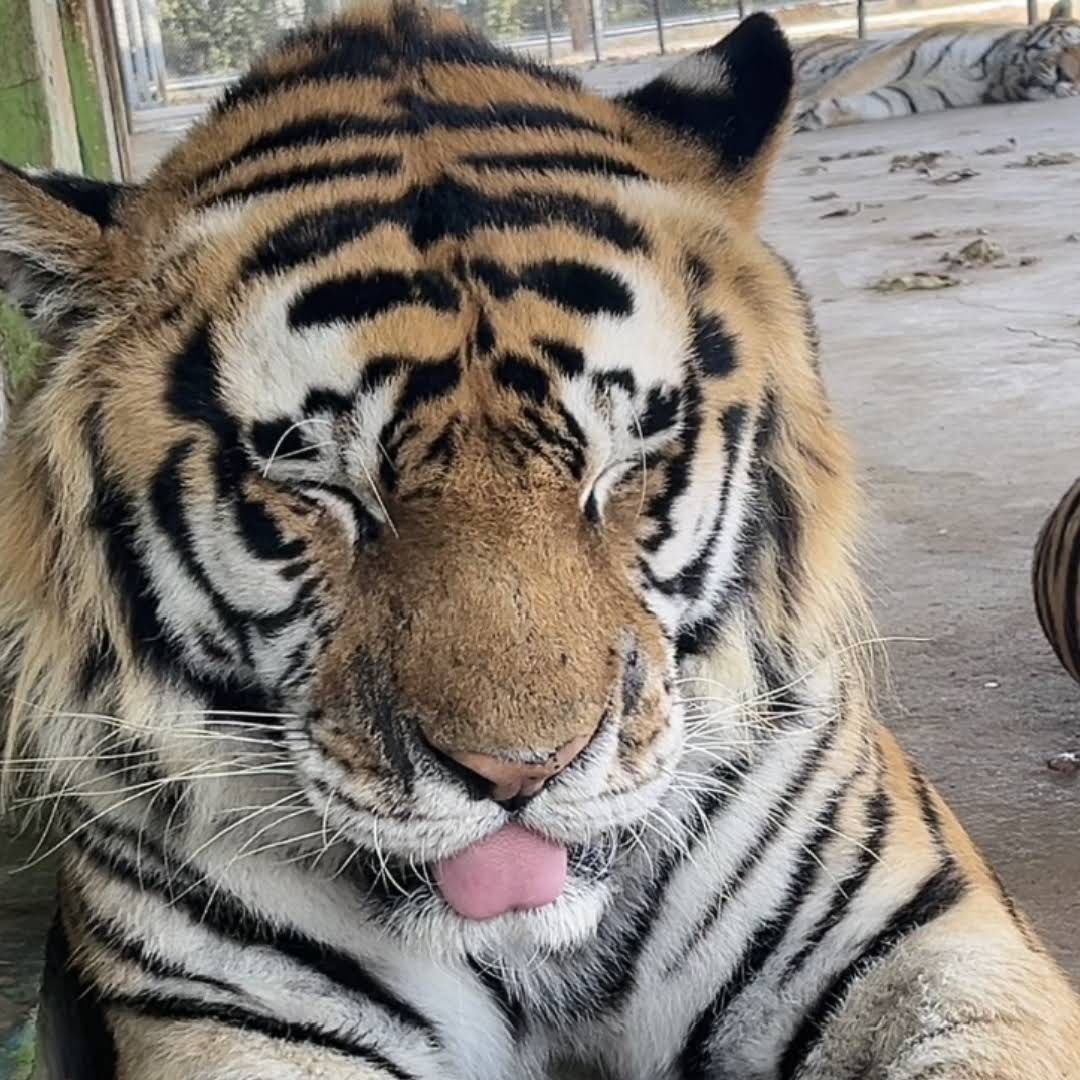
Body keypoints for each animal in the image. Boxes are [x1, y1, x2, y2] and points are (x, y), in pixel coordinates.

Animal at [793, 0, 1080, 131]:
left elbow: (868, 104)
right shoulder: (897, 56)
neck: (996, 77)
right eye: (1067, 44)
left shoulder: (914, 94)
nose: (1065, 76)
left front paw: (815, 115)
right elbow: (843, 84)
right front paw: (799, 109)